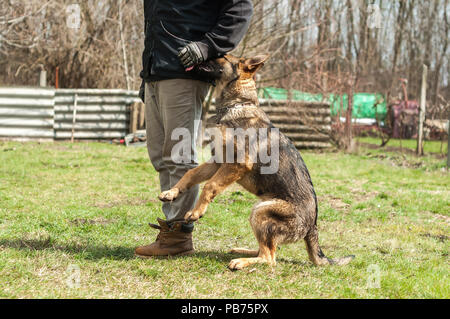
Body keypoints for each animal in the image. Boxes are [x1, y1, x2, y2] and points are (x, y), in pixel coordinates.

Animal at [159, 54, 356, 270]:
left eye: (222, 56)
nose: (186, 52)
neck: (237, 104)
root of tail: (313, 227)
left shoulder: (237, 164)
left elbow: (210, 185)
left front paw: (195, 212)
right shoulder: (218, 162)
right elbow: (191, 174)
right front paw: (171, 192)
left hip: (260, 212)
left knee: (269, 258)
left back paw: (241, 261)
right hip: (259, 211)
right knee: (267, 250)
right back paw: (242, 251)